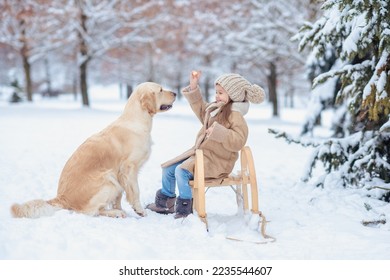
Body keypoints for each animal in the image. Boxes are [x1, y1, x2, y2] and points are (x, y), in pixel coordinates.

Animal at [10, 82, 176, 219]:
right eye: (161, 90)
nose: (175, 93)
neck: (137, 120)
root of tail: (61, 197)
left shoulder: (120, 173)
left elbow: (119, 197)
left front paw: (122, 208)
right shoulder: (128, 169)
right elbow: (135, 191)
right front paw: (139, 210)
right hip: (108, 180)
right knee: (90, 211)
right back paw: (115, 213)